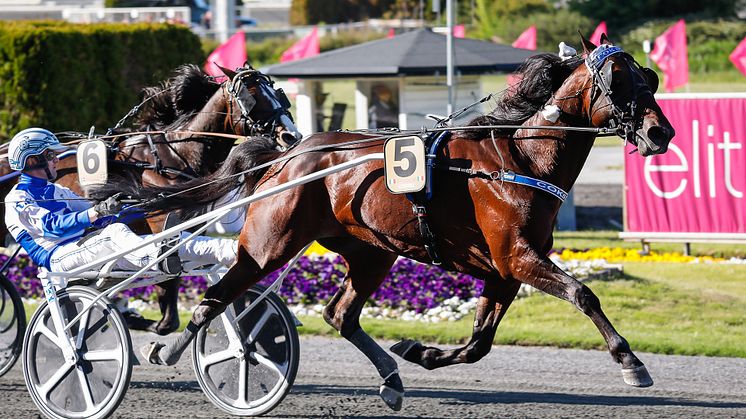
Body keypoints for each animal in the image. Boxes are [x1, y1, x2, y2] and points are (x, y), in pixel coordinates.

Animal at [2, 63, 300, 334]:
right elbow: (167, 285)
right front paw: (148, 322)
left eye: (278, 92)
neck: (173, 158)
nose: (291, 136)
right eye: (252, 95)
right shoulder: (159, 226)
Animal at [97, 35, 668, 410]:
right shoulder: (519, 257)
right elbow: (583, 294)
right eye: (619, 80)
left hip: (372, 252)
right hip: (269, 243)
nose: (661, 132)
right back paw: (169, 345)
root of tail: (287, 155)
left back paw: (391, 377)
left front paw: (421, 351)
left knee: (339, 315)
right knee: (217, 295)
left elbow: (480, 343)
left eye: (650, 77)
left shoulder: (504, 269)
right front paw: (630, 362)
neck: (521, 159)